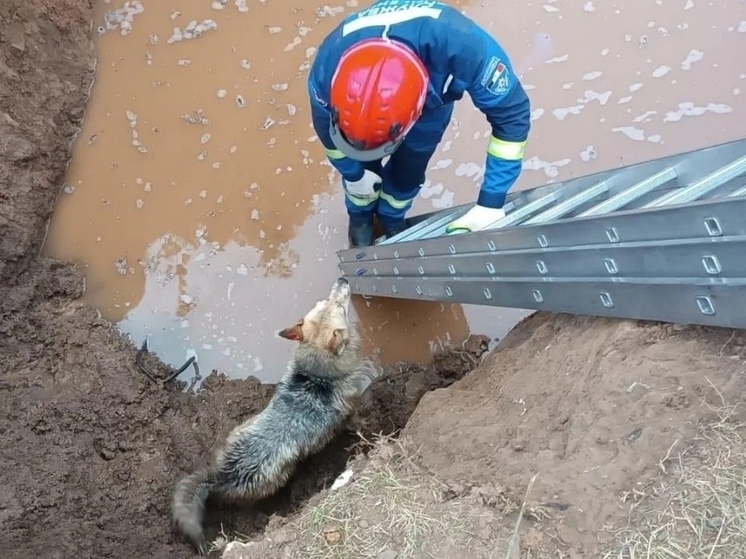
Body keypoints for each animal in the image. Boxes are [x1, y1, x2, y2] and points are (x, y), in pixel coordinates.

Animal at [169, 278, 366, 552]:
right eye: (338, 305)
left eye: (327, 301)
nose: (342, 280)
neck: (316, 374)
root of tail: (221, 474)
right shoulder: (350, 409)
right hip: (274, 481)